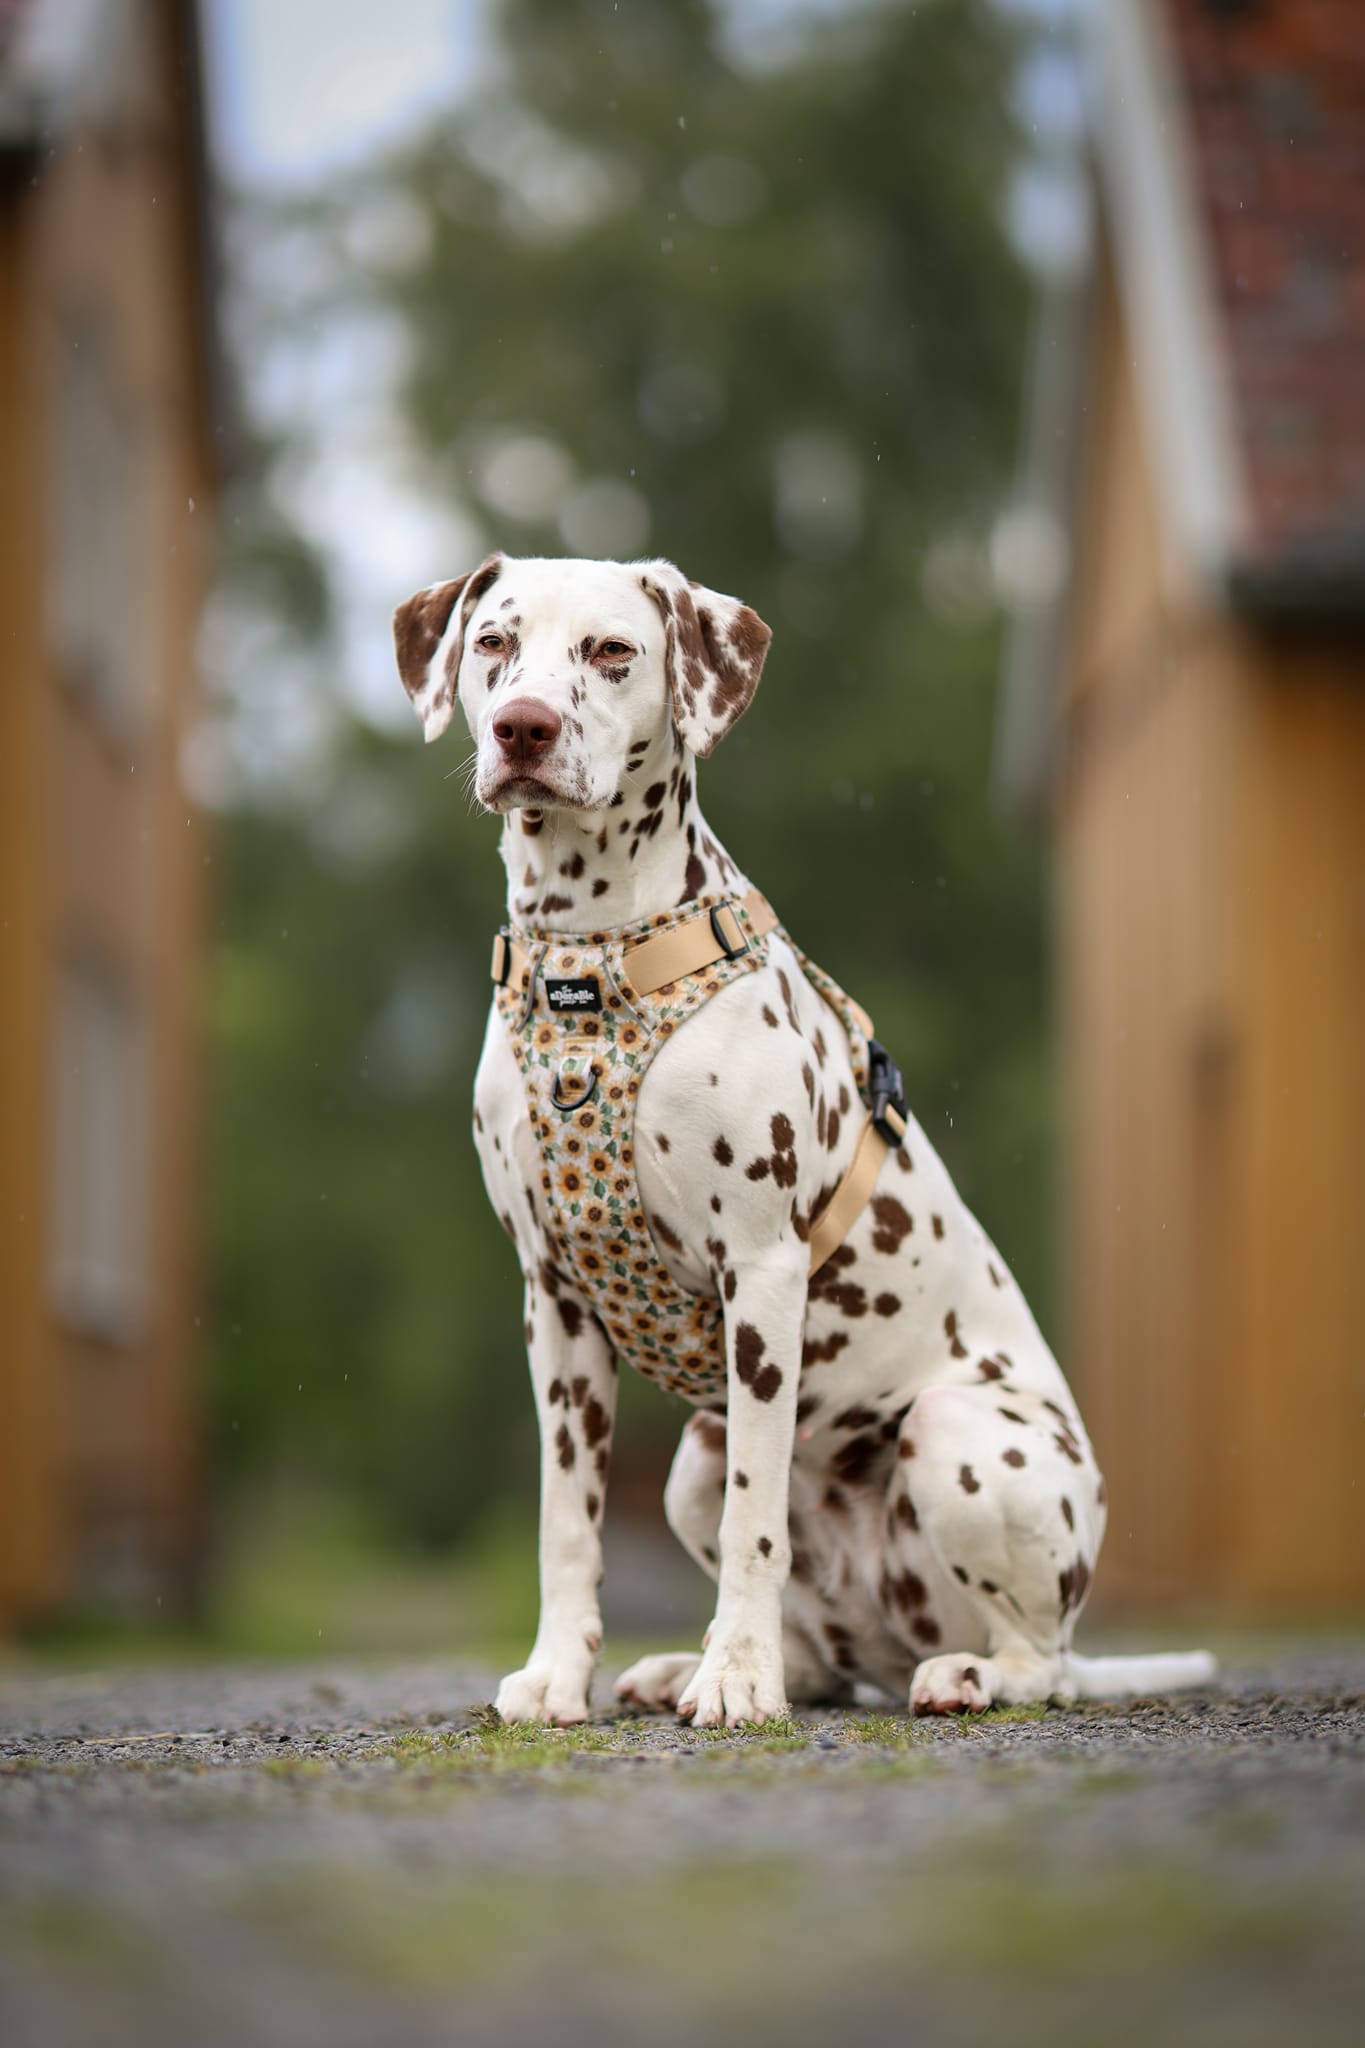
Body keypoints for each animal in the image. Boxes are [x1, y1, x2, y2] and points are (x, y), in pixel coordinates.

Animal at [392, 552, 1215, 1728]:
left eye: (612, 649)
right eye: (495, 641)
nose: (524, 727)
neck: (591, 968)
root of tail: (895, 1630)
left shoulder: (763, 1275)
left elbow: (757, 1520)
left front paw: (739, 1679)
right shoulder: (554, 1301)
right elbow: (567, 1521)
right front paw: (559, 1676)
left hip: (954, 1435)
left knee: (1036, 1660)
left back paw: (955, 1673)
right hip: (692, 1459)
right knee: (827, 1654)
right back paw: (699, 1666)